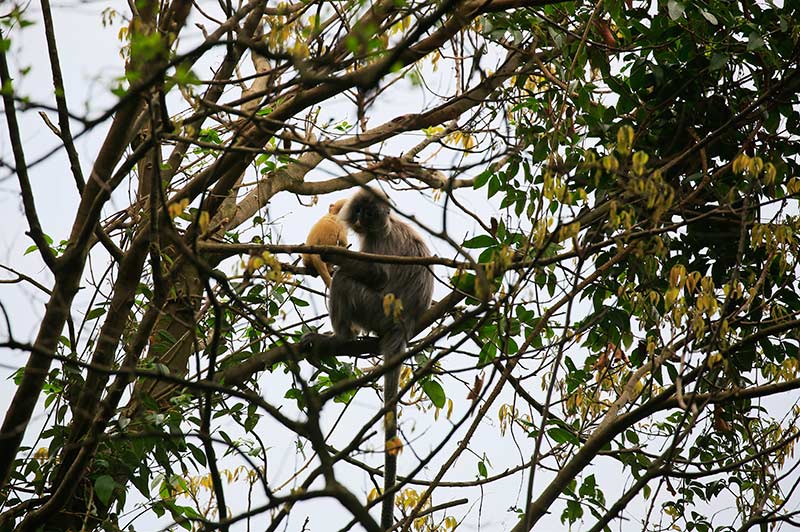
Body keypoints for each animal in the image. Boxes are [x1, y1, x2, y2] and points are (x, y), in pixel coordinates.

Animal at [302, 187, 438, 528]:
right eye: (360, 210)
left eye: (371, 212)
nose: (363, 218)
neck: (382, 228)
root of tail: (403, 326)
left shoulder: (379, 244)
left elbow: (377, 275)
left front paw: (333, 256)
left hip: (375, 309)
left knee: (345, 281)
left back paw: (340, 338)